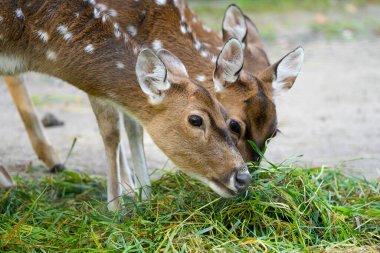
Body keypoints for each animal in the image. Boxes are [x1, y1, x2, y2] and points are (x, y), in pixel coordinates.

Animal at [0, 0, 249, 210]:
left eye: (225, 114)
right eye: (195, 119)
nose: (243, 177)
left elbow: (130, 126)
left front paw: (144, 197)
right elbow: (112, 131)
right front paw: (116, 209)